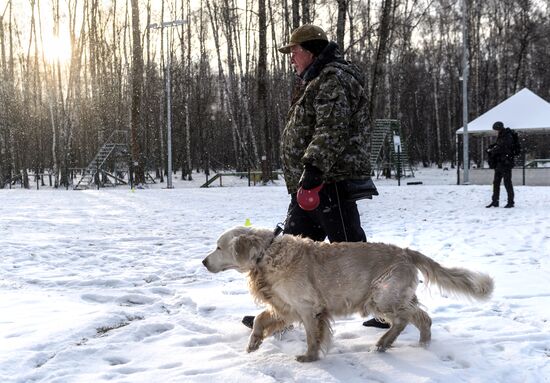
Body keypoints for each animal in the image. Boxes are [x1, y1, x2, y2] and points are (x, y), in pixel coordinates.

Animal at [203, 226, 496, 364]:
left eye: (218, 247)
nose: (204, 262)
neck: (266, 255)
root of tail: (406, 251)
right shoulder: (286, 306)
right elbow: (260, 319)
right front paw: (253, 344)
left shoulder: (308, 308)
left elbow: (312, 337)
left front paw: (309, 358)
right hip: (390, 297)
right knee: (419, 318)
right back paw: (405, 344)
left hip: (381, 295)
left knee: (412, 319)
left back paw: (396, 343)